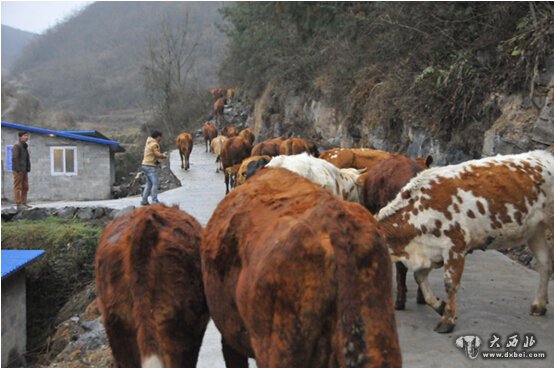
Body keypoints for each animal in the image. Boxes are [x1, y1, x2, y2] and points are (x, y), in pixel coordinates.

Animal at [376, 150, 552, 334]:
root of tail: (544, 154)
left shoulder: (455, 246)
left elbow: (450, 283)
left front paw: (447, 320)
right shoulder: (429, 250)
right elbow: (420, 278)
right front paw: (440, 306)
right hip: (535, 229)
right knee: (545, 261)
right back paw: (539, 305)